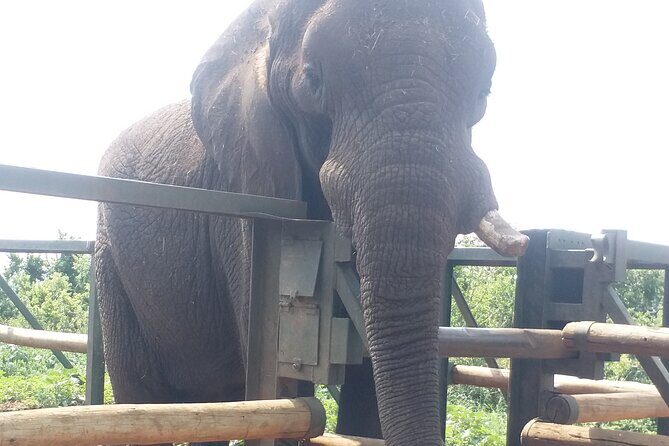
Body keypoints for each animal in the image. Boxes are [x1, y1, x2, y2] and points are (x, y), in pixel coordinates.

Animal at [96, 1, 528, 445]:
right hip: (111, 263)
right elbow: (284, 385)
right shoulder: (251, 200)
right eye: (312, 79)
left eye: (483, 93)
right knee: (141, 394)